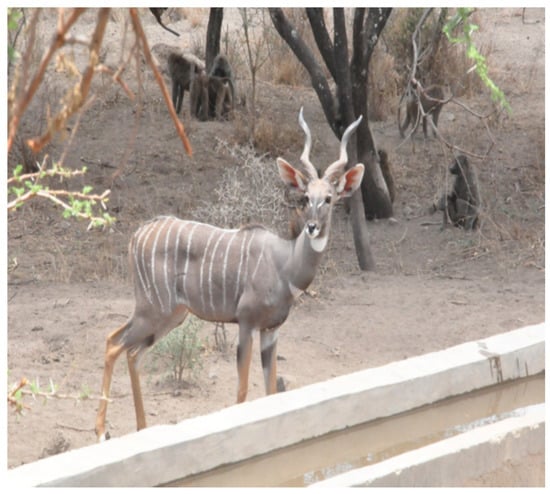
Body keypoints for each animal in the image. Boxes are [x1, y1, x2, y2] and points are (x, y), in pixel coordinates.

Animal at [95, 108, 365, 441]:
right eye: (305, 197)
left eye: (329, 198)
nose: (312, 227)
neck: (285, 264)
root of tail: (138, 234)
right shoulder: (246, 324)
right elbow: (242, 392)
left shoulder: (271, 330)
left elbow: (270, 391)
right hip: (153, 311)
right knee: (114, 345)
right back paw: (101, 431)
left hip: (169, 316)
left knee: (130, 351)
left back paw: (142, 428)